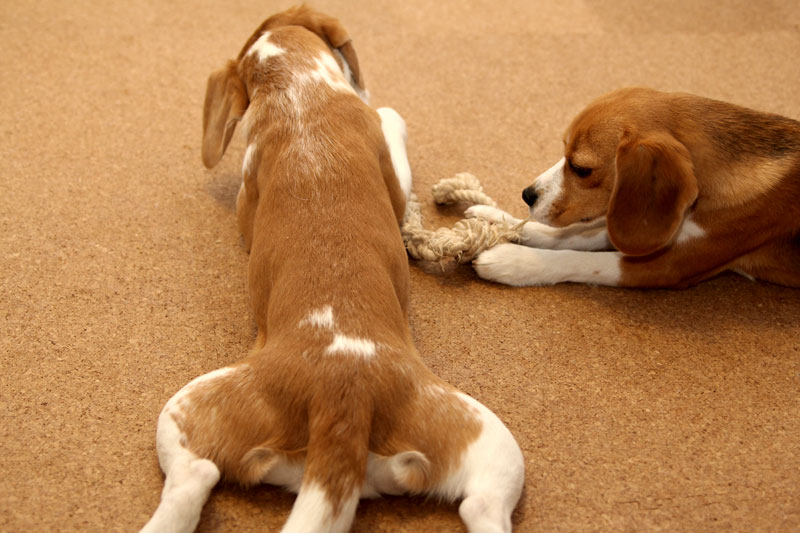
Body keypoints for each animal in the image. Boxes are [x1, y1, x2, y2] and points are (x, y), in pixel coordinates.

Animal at [138, 7, 524, 532]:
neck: (299, 88)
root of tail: (343, 395)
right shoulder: (389, 162)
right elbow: (390, 116)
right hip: (492, 443)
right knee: (195, 475)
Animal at [468, 87, 800, 286]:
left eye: (580, 168)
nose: (527, 195)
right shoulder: (640, 230)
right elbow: (569, 235)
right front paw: (498, 220)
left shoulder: (668, 265)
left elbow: (580, 258)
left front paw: (512, 261)